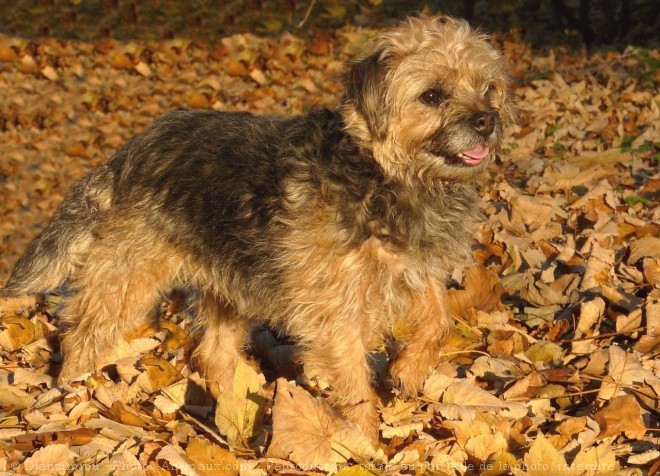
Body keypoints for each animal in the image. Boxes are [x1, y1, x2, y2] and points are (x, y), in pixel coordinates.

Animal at [0, 14, 516, 440]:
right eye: (432, 95)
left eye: (488, 88)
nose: (486, 120)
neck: (384, 176)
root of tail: (129, 150)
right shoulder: (335, 307)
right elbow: (353, 378)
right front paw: (364, 441)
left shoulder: (413, 267)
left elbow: (438, 318)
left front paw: (408, 370)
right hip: (127, 280)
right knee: (82, 338)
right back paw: (74, 393)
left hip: (231, 285)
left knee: (212, 354)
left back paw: (227, 408)